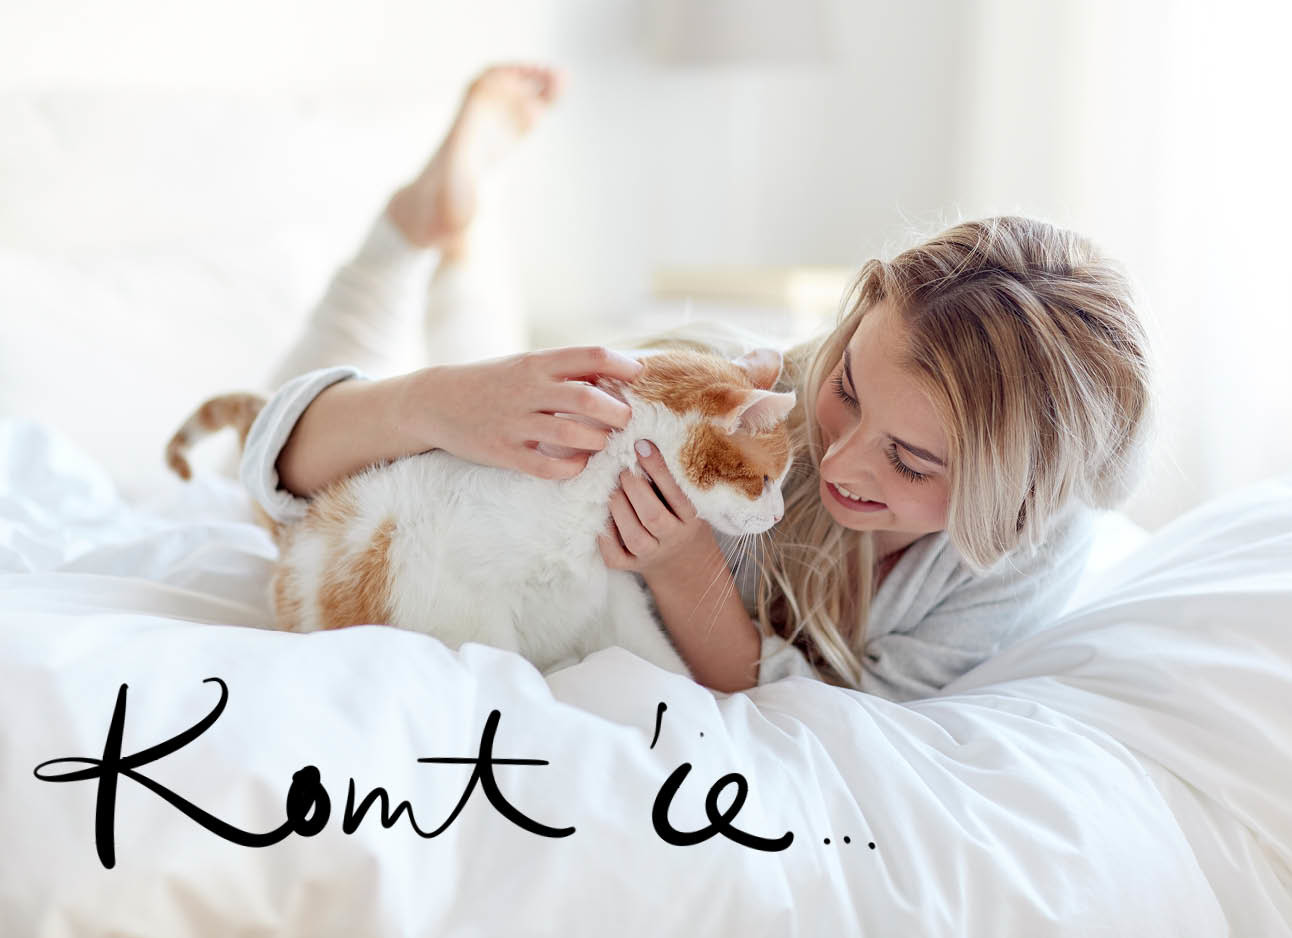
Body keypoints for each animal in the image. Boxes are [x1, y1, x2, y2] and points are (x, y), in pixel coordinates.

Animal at [165, 346, 795, 677]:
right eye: (767, 480)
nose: (778, 514)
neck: (579, 507)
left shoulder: (615, 598)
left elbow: (666, 667)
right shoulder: (471, 605)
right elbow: (506, 666)